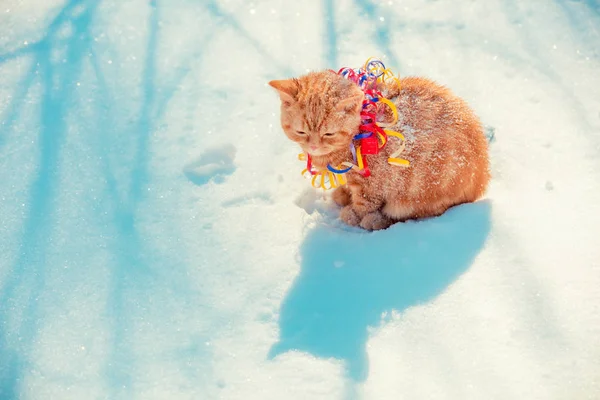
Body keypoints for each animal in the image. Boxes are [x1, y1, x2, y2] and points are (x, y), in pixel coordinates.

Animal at [270, 70, 490, 230]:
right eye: (301, 132)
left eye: (328, 134)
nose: (314, 146)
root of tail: (482, 179)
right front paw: (343, 194)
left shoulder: (372, 184)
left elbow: (363, 203)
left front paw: (353, 214)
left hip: (418, 196)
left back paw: (375, 220)